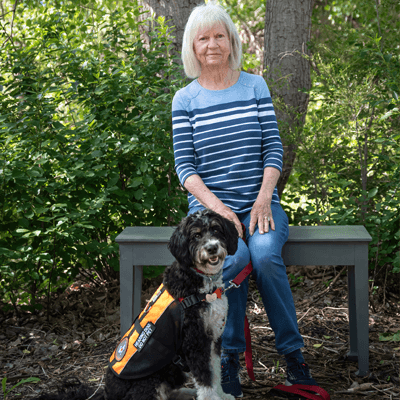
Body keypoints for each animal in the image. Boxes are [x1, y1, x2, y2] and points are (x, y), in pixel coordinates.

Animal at [34, 209, 238, 400]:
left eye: (216, 229)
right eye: (196, 235)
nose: (212, 248)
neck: (201, 283)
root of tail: (107, 393)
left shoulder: (213, 338)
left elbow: (215, 372)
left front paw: (222, 395)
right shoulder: (195, 342)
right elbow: (205, 379)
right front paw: (213, 398)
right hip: (149, 381)